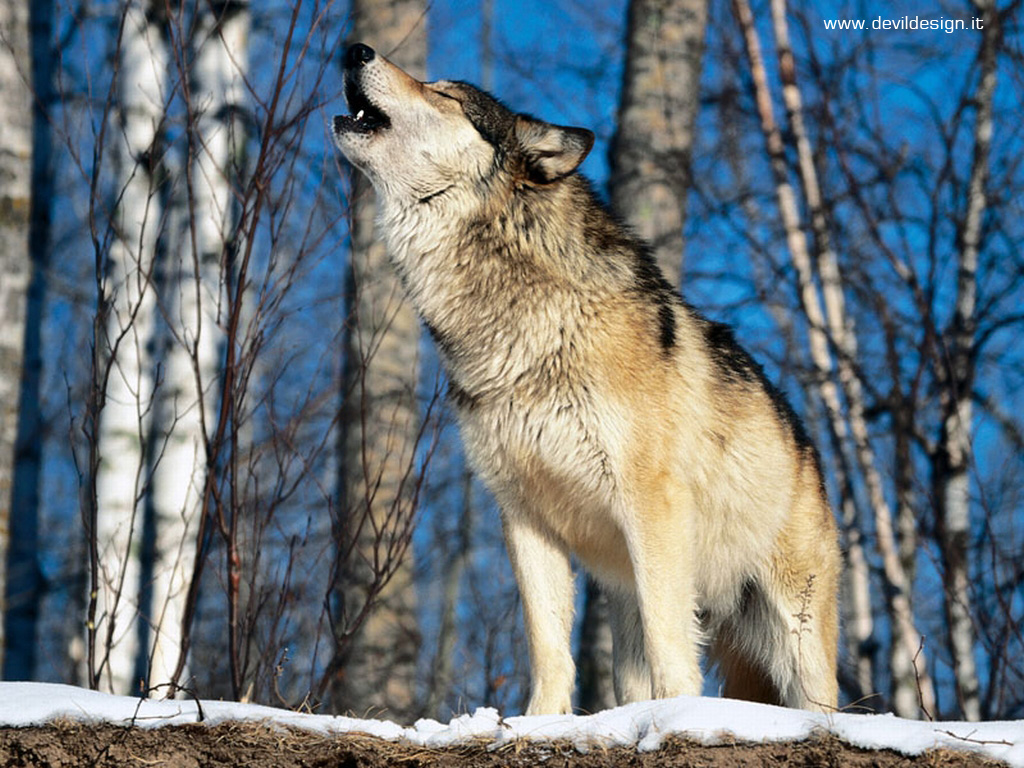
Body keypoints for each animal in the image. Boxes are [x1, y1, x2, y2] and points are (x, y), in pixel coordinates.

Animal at [333, 42, 840, 715]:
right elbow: (548, 645)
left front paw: (677, 716)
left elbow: (671, 642)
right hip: (627, 602)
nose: (354, 49)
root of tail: (809, 447)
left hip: (794, 632)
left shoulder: (651, 505)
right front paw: (538, 723)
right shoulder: (524, 516)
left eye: (444, 94)